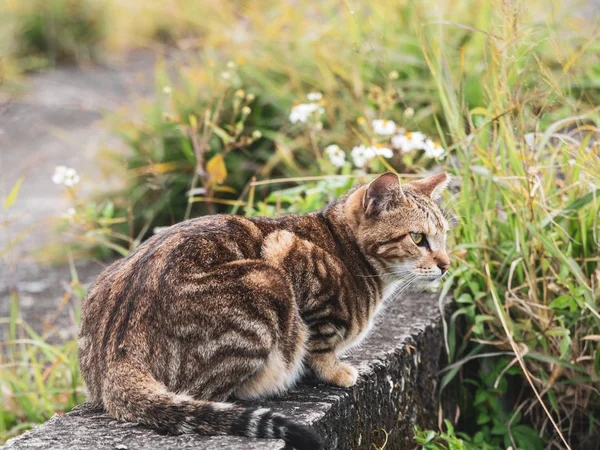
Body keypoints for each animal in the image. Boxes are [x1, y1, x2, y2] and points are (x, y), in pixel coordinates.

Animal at [79, 171, 450, 448]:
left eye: (445, 236)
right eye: (418, 238)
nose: (447, 264)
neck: (345, 249)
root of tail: (116, 356)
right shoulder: (290, 255)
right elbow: (320, 343)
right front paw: (334, 371)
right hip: (267, 282)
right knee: (211, 393)